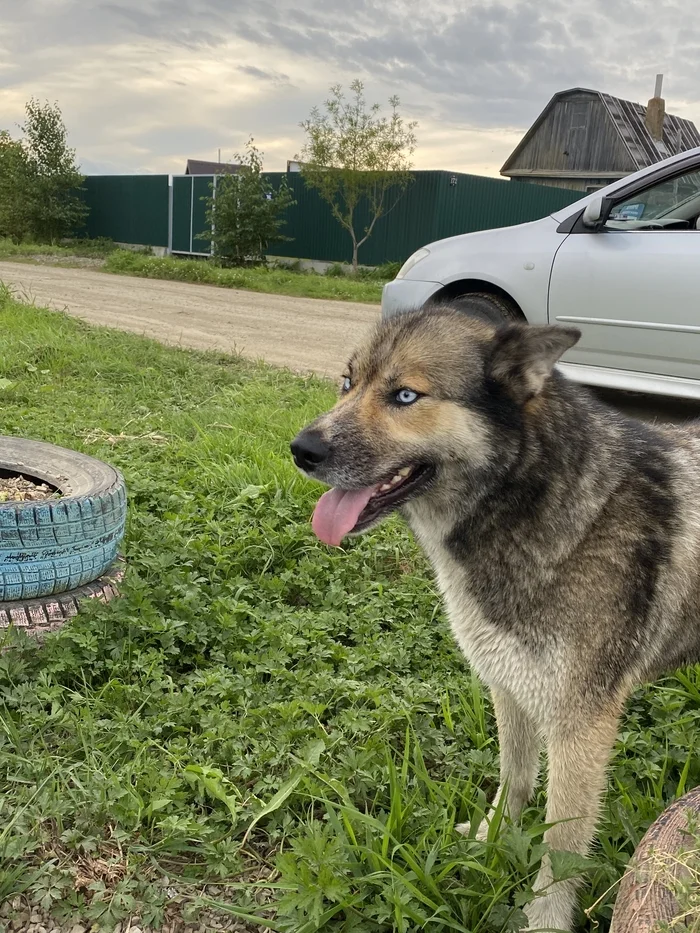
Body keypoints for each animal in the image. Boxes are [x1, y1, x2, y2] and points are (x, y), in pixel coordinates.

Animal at [288, 302, 700, 928]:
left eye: (405, 396)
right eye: (346, 383)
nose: (302, 449)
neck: (529, 498)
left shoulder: (581, 726)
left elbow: (561, 848)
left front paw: (543, 921)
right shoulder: (509, 685)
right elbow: (514, 781)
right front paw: (490, 841)